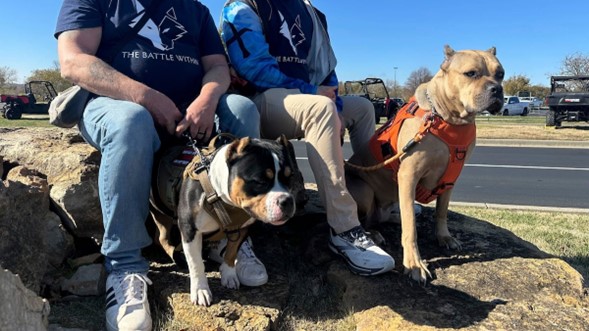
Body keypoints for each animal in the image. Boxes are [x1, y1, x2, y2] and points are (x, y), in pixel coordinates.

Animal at [150, 136, 298, 308]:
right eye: (260, 181)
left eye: (290, 177)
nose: (287, 201)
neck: (221, 196)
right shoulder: (189, 229)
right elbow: (196, 263)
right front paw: (200, 290)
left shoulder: (241, 228)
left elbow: (231, 252)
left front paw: (228, 274)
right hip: (159, 211)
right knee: (161, 238)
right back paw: (175, 254)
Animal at [344, 45, 506, 284]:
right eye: (471, 73)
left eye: (500, 74)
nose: (497, 89)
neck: (449, 119)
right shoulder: (408, 176)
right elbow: (410, 227)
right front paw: (414, 263)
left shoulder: (450, 181)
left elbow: (441, 211)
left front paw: (444, 237)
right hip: (364, 191)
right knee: (365, 220)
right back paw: (373, 233)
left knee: (389, 215)